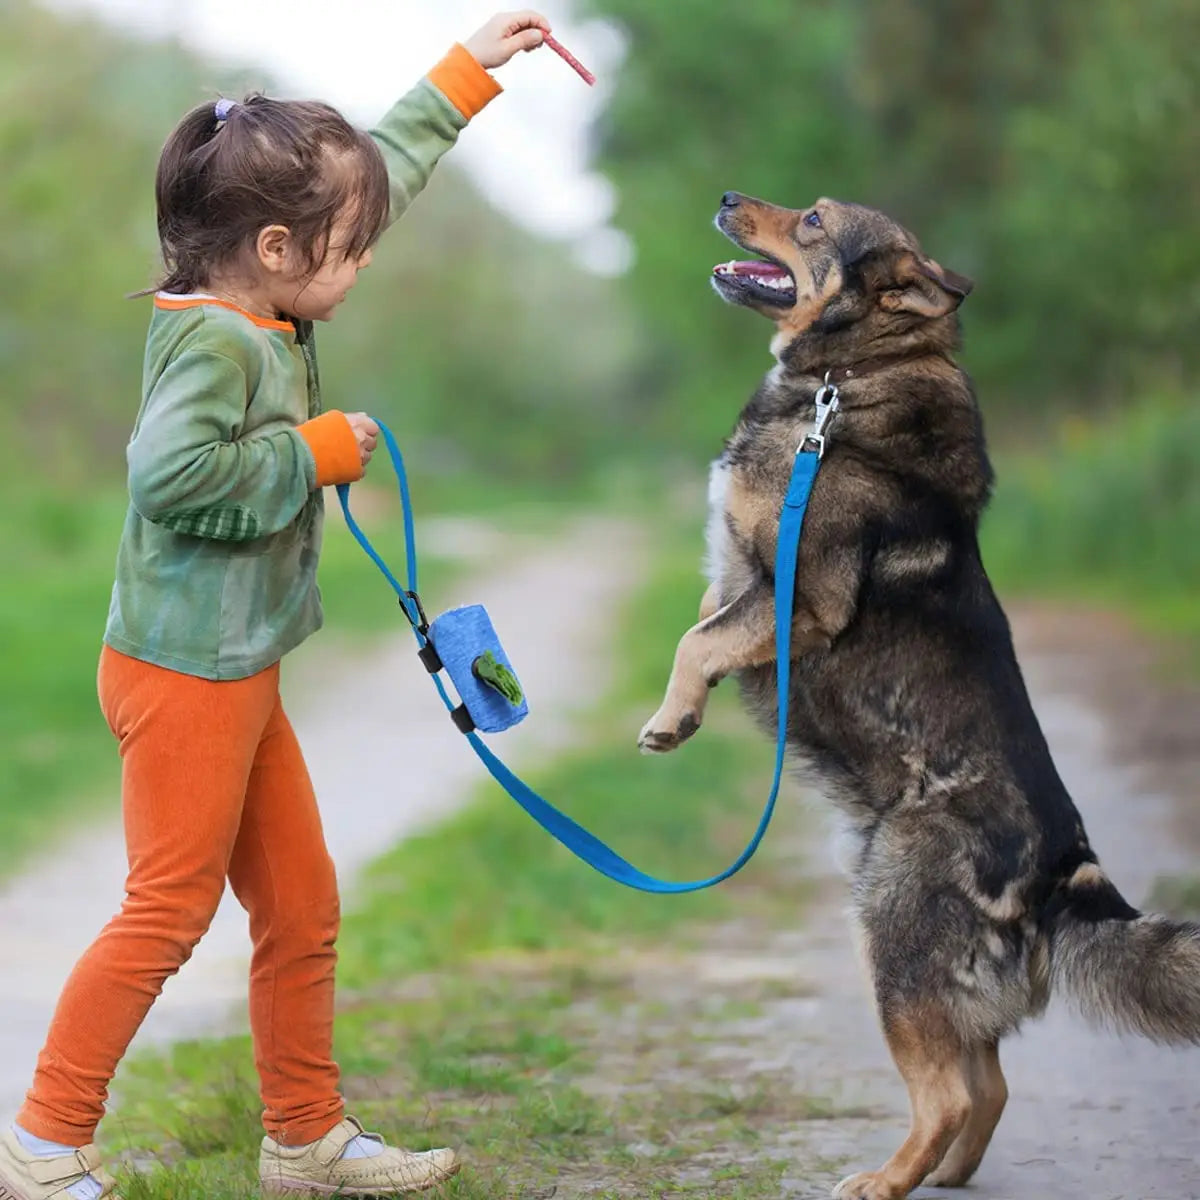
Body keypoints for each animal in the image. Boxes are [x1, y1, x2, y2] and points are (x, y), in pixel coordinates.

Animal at [643, 189, 1200, 1200]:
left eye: (815, 221)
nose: (729, 198)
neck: (851, 376)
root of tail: (1067, 864)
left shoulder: (801, 597)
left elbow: (695, 639)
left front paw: (671, 719)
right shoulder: (742, 580)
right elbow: (707, 620)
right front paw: (690, 707)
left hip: (894, 946)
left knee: (946, 1091)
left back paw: (882, 1180)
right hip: (926, 965)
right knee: (987, 1084)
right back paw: (942, 1173)